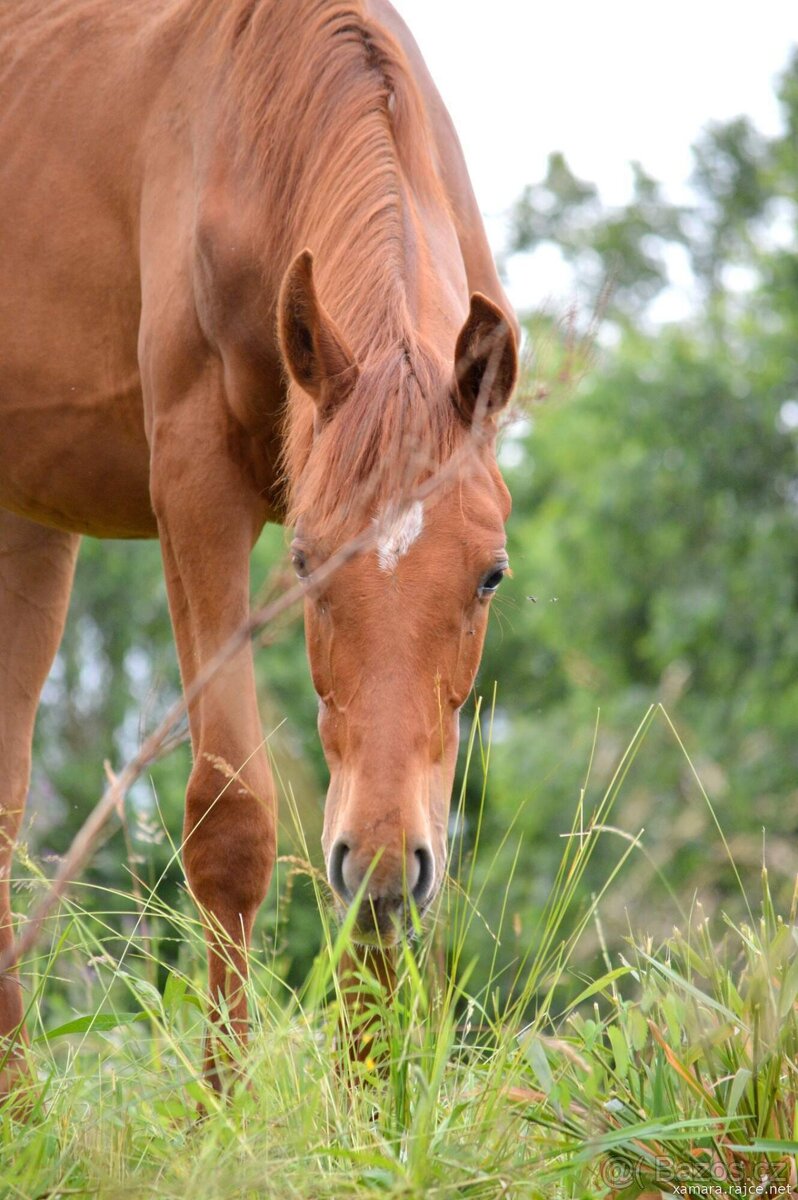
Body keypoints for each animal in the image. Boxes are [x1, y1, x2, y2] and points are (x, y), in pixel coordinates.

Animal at [0, 0, 520, 1089]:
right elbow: (231, 824)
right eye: (308, 566)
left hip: (29, 525)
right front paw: (222, 1109)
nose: (384, 858)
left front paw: (370, 1105)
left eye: (491, 576)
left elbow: (380, 846)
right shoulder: (196, 494)